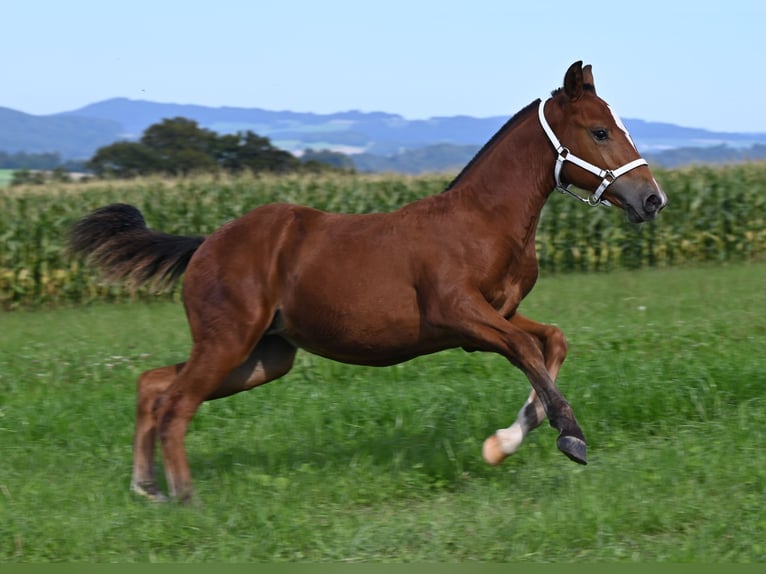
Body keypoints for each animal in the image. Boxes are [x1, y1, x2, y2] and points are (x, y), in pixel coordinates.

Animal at [75, 62, 668, 504]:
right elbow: (526, 347)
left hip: (263, 357)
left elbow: (551, 341)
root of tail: (204, 244)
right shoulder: (459, 314)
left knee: (153, 385)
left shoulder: (493, 314)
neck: (483, 221)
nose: (652, 199)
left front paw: (505, 441)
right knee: (176, 403)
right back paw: (184, 497)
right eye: (599, 131)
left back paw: (146, 487)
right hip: (230, 342)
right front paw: (569, 437)